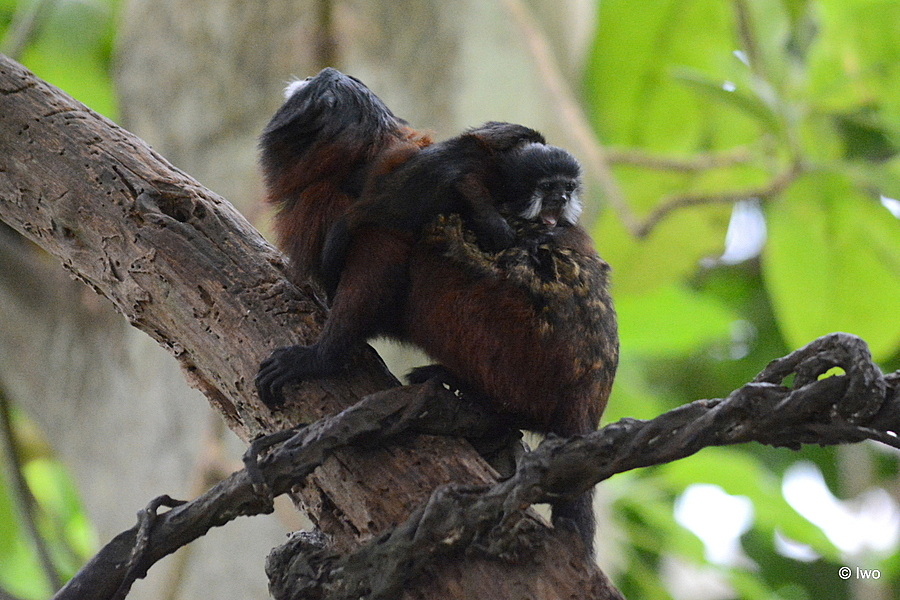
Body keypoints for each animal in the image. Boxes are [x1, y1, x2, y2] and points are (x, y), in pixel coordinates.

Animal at [255, 68, 618, 554]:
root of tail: (587, 400)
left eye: (320, 88)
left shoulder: (368, 213)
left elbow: (375, 273)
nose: (322, 73)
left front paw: (316, 359)